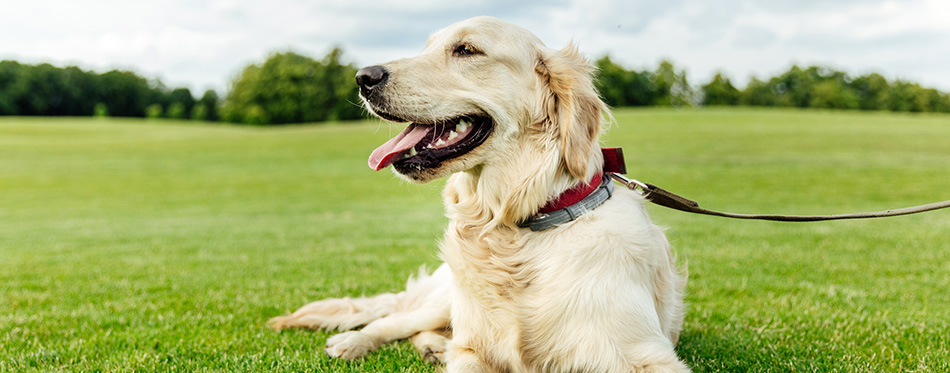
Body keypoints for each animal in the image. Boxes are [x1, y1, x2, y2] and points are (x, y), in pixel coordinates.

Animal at [272, 16, 688, 370]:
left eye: (467, 50)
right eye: (427, 47)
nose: (363, 77)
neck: (513, 227)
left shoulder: (647, 356)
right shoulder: (473, 348)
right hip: (445, 298)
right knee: (397, 320)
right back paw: (355, 342)